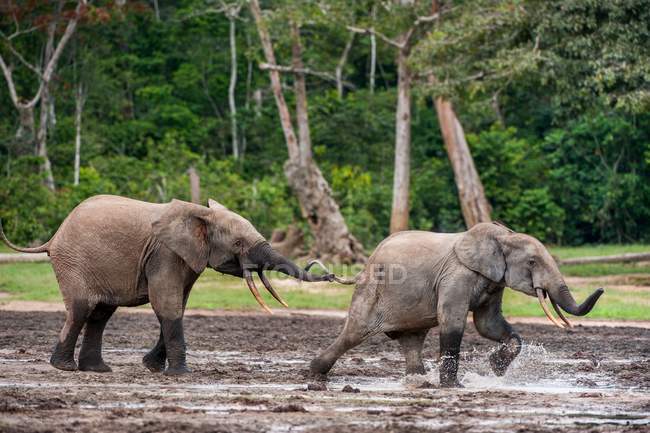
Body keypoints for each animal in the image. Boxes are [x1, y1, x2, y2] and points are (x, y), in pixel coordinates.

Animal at [3, 196, 340, 374]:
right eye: (238, 243)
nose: (330, 275)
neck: (202, 213)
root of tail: (53, 238)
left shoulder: (186, 258)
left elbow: (179, 304)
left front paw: (152, 367)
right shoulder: (165, 253)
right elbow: (167, 303)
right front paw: (179, 374)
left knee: (101, 314)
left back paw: (98, 370)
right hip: (74, 262)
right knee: (82, 309)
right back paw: (64, 368)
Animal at [308, 221, 604, 386]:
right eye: (532, 262)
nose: (601, 288)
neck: (503, 236)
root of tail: (365, 264)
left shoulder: (494, 281)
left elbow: (488, 324)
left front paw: (496, 367)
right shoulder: (456, 274)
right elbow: (452, 321)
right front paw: (454, 387)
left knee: (411, 341)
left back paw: (419, 381)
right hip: (371, 292)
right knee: (353, 333)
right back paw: (314, 374)